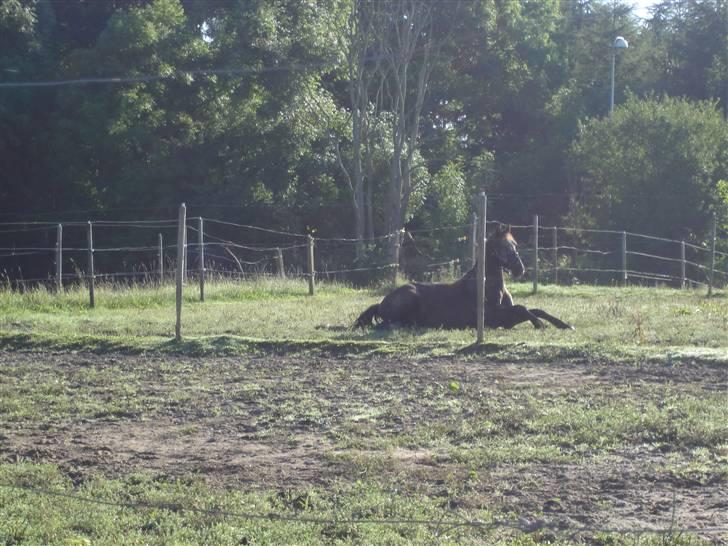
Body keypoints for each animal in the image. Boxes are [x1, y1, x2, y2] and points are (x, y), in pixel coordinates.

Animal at [354, 223, 576, 330]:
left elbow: (535, 309)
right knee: (386, 324)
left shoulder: (506, 316)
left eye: (514, 245)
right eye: (503, 246)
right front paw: (540, 325)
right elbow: (524, 309)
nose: (519, 269)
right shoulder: (497, 318)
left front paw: (565, 325)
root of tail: (381, 302)